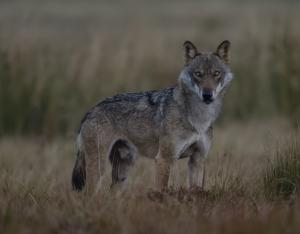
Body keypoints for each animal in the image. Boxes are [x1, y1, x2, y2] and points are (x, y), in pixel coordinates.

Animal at [71, 40, 233, 194]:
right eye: (198, 74)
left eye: (216, 73)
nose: (207, 95)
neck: (199, 119)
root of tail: (89, 111)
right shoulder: (164, 159)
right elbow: (161, 191)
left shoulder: (198, 160)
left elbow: (195, 188)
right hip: (99, 166)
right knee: (89, 193)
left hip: (123, 170)